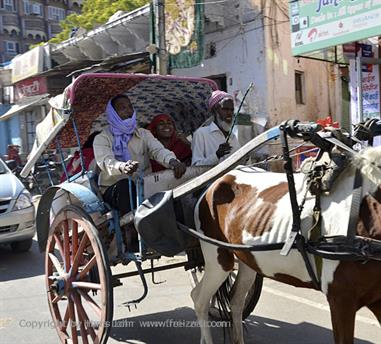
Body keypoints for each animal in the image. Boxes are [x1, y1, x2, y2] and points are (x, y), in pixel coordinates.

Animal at [191, 147, 380, 344]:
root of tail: (215, 183)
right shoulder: (341, 300)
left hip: (247, 259)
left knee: (236, 301)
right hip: (218, 258)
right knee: (199, 300)